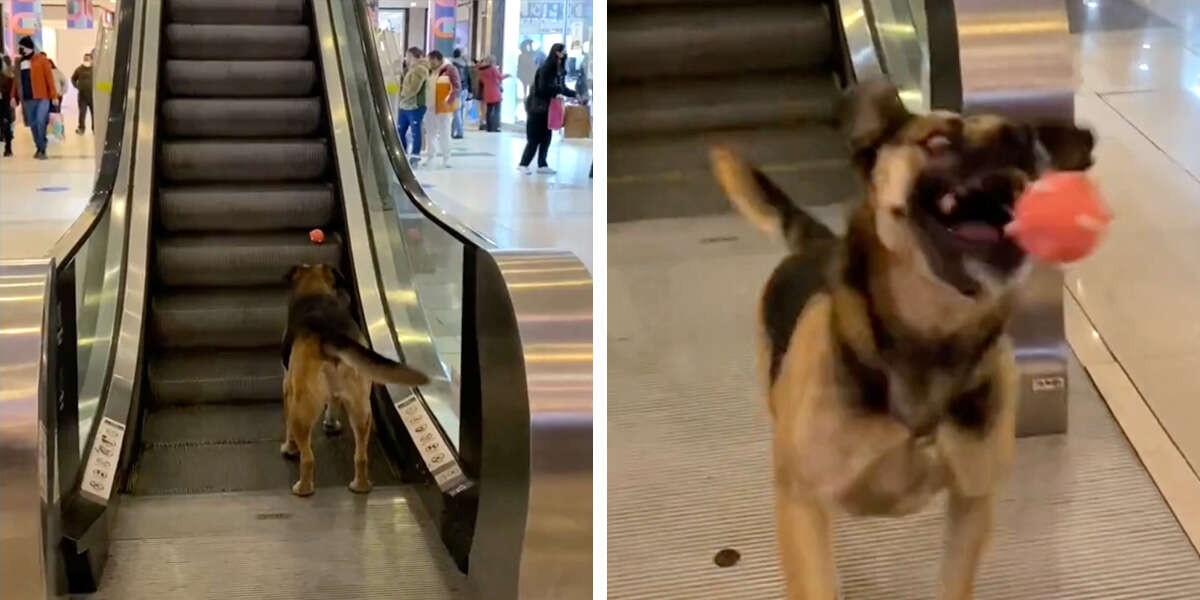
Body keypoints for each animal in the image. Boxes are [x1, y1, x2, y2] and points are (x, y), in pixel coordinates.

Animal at [280, 264, 432, 496]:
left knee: (308, 458)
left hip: (303, 406)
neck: (315, 289)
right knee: (361, 456)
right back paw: (360, 486)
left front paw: (289, 448)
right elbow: (333, 402)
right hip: (361, 407)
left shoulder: (288, 386)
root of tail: (332, 336)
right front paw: (331, 423)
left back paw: (303, 488)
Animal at [710, 81, 1099, 600]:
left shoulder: (972, 504)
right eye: (937, 140)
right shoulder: (802, 504)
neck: (930, 338)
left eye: (1035, 150)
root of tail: (818, 243)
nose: (1021, 138)